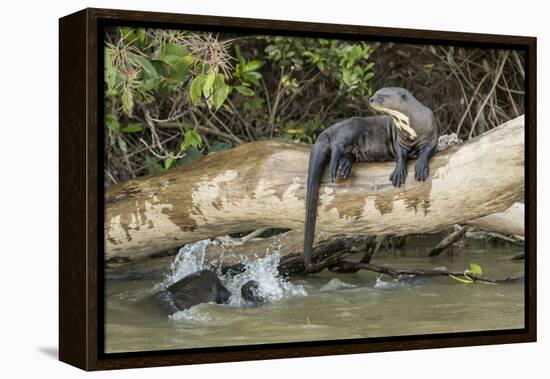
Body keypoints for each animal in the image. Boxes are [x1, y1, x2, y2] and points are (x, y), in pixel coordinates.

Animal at [302, 88, 440, 268]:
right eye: (376, 93)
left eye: (381, 96)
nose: (371, 99)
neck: (412, 128)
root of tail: (328, 130)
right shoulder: (399, 141)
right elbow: (401, 155)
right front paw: (399, 172)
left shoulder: (432, 132)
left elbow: (428, 150)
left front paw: (421, 166)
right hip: (351, 128)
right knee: (338, 144)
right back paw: (335, 165)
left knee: (347, 152)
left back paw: (344, 166)